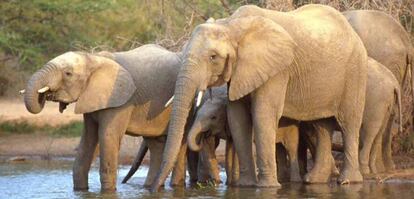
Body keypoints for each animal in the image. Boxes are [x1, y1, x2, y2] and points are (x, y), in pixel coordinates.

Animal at [21, 44, 191, 191]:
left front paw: (108, 191)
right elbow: (88, 140)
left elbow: (107, 137)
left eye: (68, 73)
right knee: (155, 144)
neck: (93, 59)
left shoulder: (120, 100)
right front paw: (80, 190)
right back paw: (150, 187)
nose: (44, 95)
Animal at [153, 4, 368, 191]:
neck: (231, 25)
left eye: (213, 57)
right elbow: (237, 117)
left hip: (355, 72)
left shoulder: (277, 69)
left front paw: (267, 187)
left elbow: (263, 114)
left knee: (349, 123)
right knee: (321, 125)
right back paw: (314, 181)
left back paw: (349, 182)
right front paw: (245, 186)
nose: (155, 189)